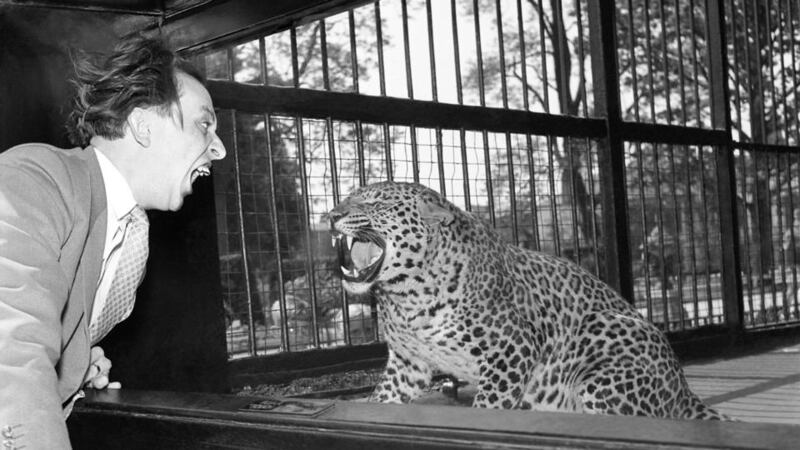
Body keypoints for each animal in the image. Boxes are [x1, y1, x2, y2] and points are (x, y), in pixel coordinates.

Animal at [328, 181, 729, 420]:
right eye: (349, 196)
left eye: (377, 201)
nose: (331, 214)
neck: (406, 297)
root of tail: (684, 389)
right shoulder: (407, 365)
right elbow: (382, 398)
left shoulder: (512, 349)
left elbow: (489, 406)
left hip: (603, 348)